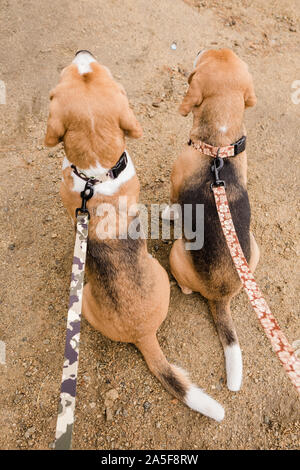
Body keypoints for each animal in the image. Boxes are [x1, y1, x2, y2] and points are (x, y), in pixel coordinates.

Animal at [162, 49, 260, 392]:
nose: (204, 48)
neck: (219, 146)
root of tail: (222, 295)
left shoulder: (175, 184)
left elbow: (173, 204)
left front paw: (168, 213)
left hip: (177, 254)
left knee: (186, 288)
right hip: (253, 248)